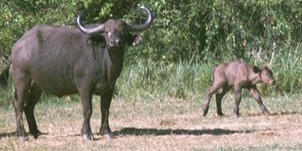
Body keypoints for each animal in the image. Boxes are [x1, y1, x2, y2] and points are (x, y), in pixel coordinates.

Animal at [0, 5, 155, 142]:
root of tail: (17, 46)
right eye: (107, 32)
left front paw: (106, 132)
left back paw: (37, 133)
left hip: (37, 87)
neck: (105, 64)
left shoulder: (110, 88)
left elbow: (105, 109)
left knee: (29, 107)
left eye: (123, 32)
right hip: (22, 81)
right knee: (18, 104)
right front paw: (87, 134)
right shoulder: (84, 87)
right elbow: (88, 110)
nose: (114, 42)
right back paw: (22, 135)